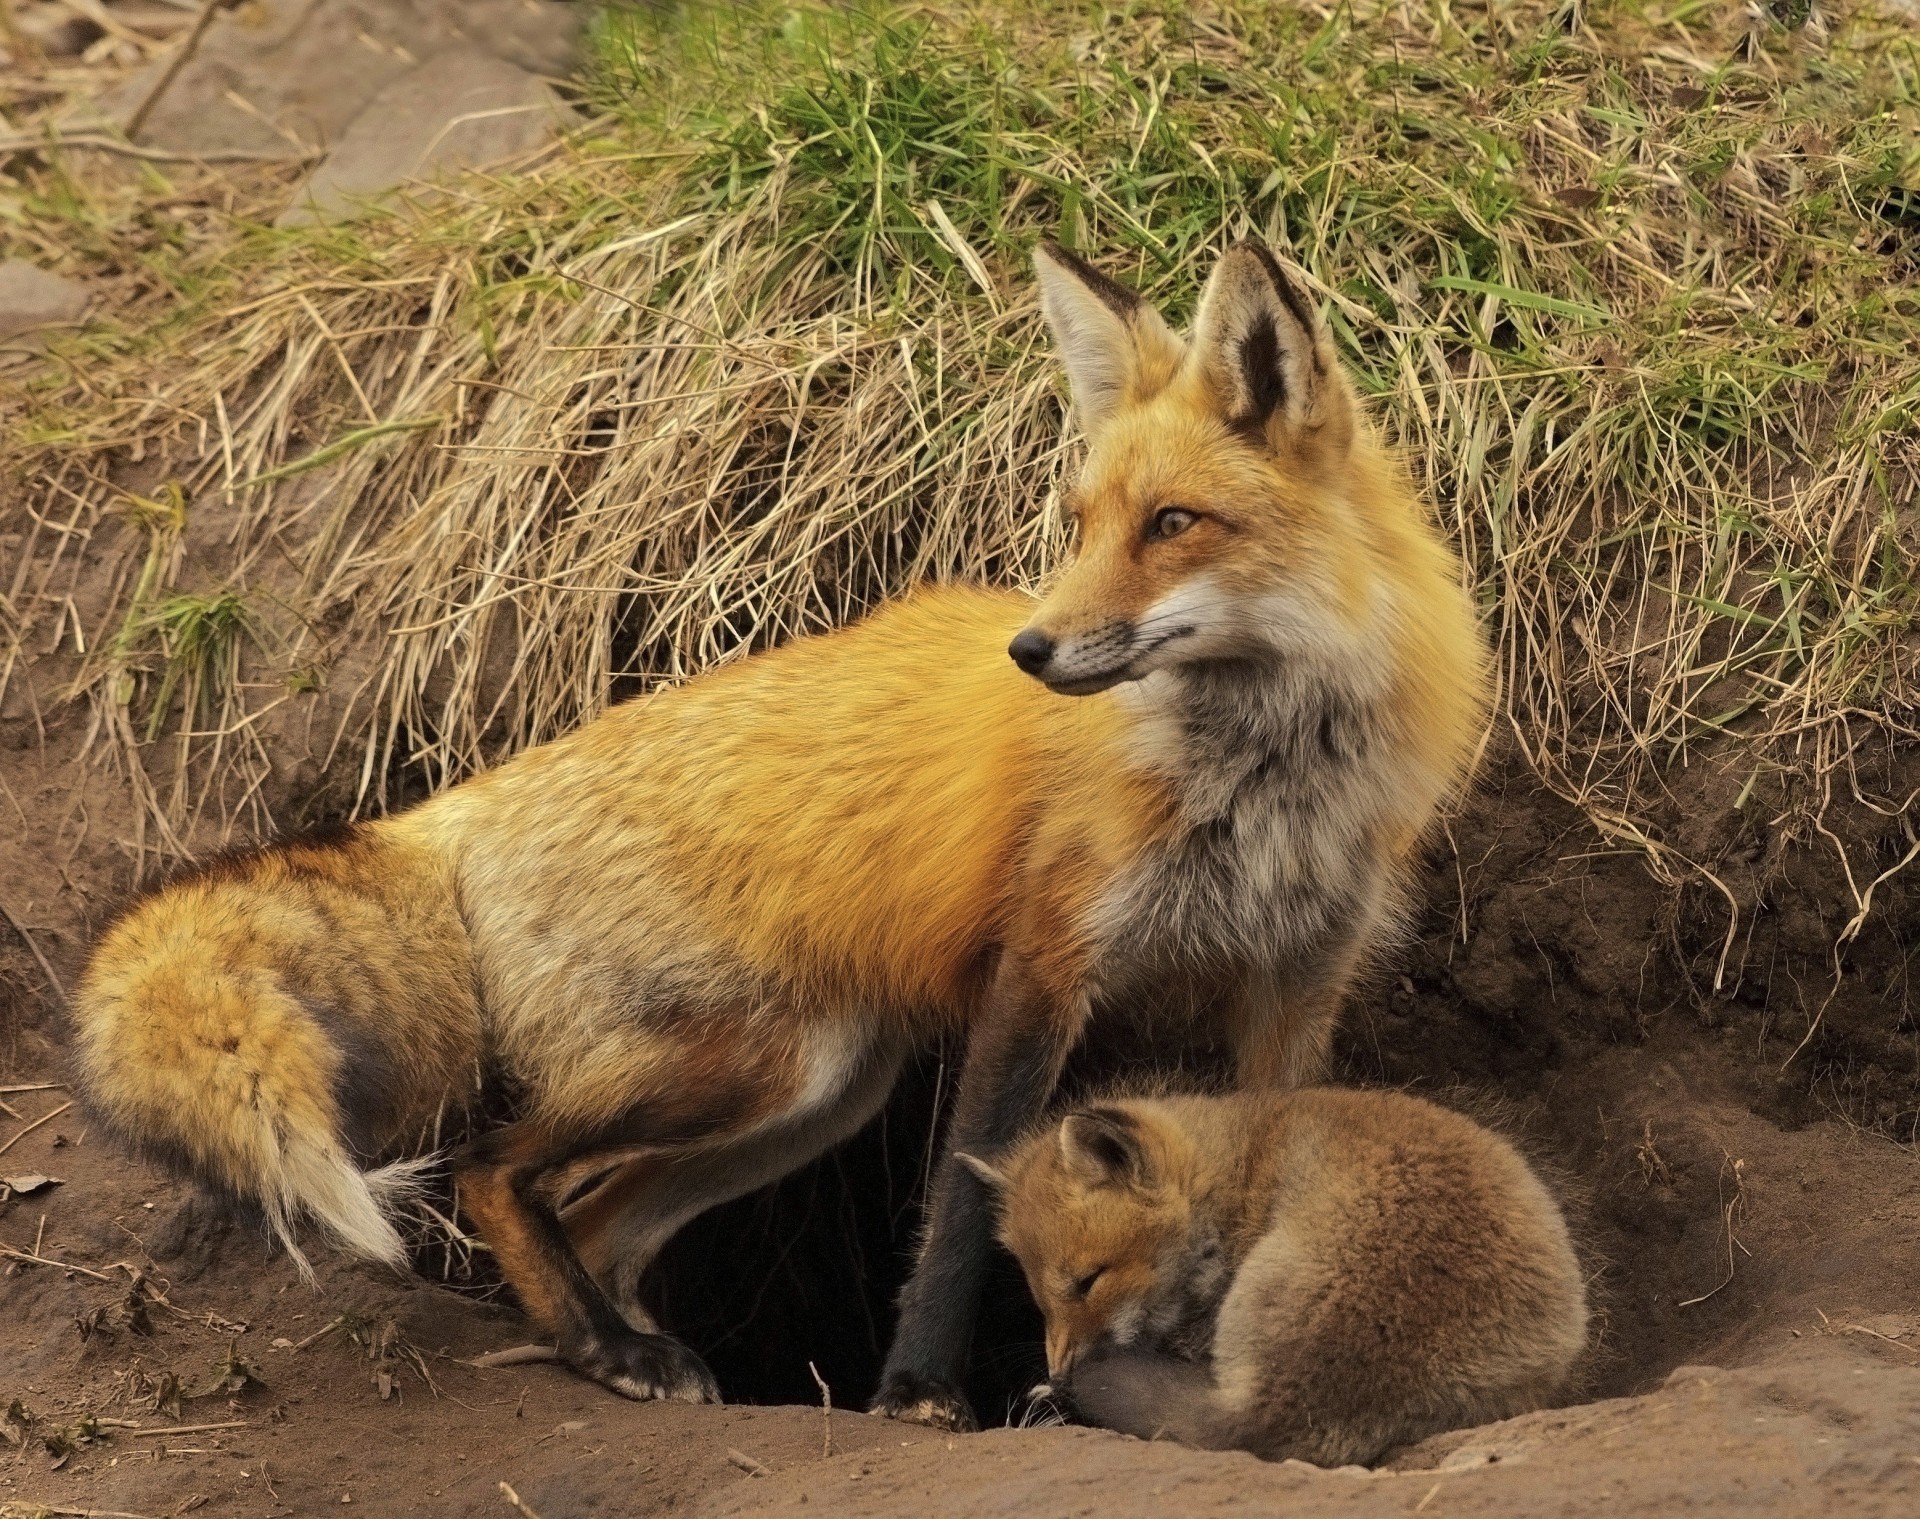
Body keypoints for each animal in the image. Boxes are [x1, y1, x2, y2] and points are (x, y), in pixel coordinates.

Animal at [69, 236, 1488, 1430]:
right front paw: (918, 1392)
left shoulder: (1296, 981)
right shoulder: (1043, 965)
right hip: (761, 1063)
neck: (1258, 782)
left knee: (597, 1219)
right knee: (490, 1167)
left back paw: (622, 1347)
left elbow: (1258, 1163)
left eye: (1174, 524)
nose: (1029, 651)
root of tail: (455, 804)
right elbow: (965, 1199)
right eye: (1082, 524)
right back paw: (613, 1348)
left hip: (811, 1092)